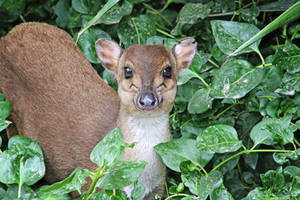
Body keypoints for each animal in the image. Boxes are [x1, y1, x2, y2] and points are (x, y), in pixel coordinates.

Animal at [0, 22, 197, 198]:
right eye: (127, 70)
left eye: (167, 70)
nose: (147, 99)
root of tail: (9, 35)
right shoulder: (91, 185)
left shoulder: (158, 189)